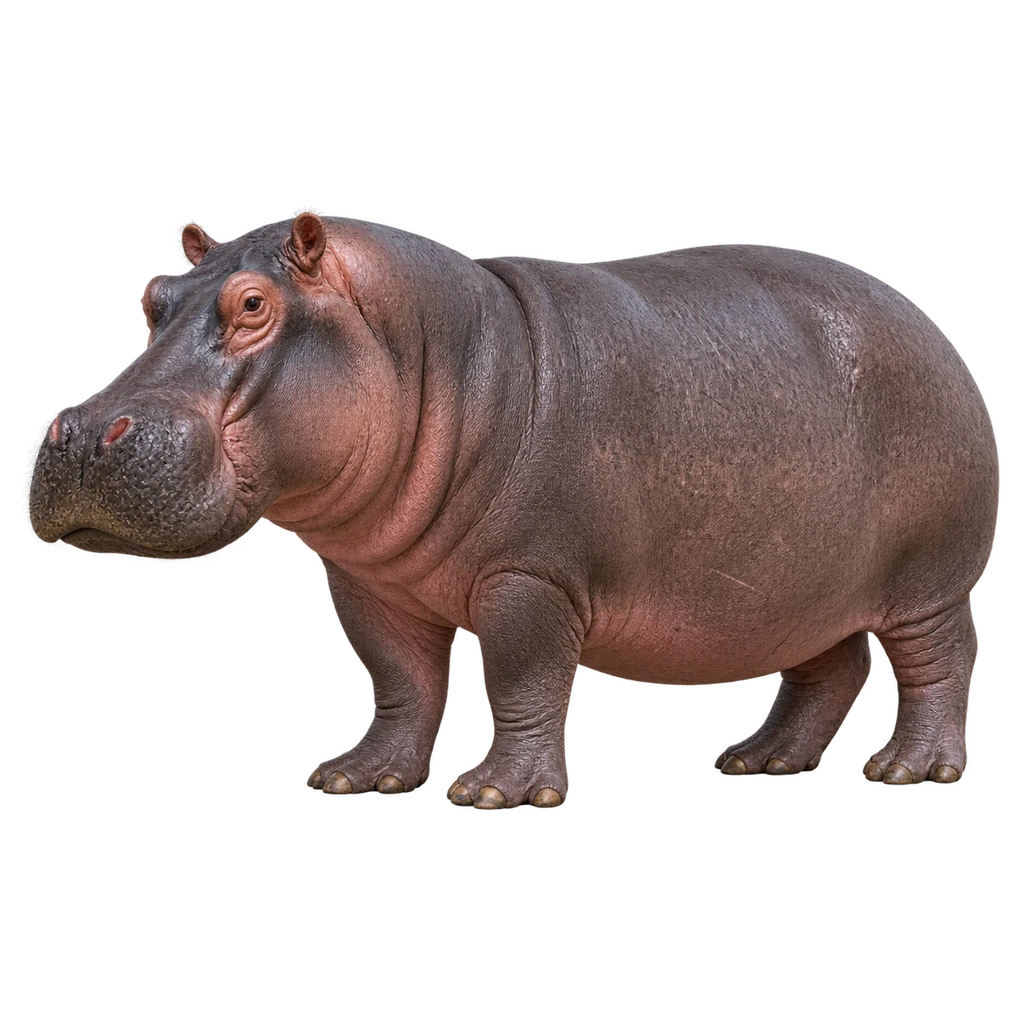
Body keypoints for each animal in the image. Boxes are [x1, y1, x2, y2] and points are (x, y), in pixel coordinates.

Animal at [23, 212, 997, 807]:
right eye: (149, 297)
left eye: (255, 303)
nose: (80, 434)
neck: (428, 351)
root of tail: (925, 317)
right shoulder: (368, 584)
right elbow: (400, 683)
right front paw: (358, 778)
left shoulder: (530, 577)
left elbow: (522, 678)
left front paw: (496, 793)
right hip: (805, 580)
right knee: (828, 667)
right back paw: (760, 761)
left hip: (929, 577)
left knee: (940, 663)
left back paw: (911, 771)